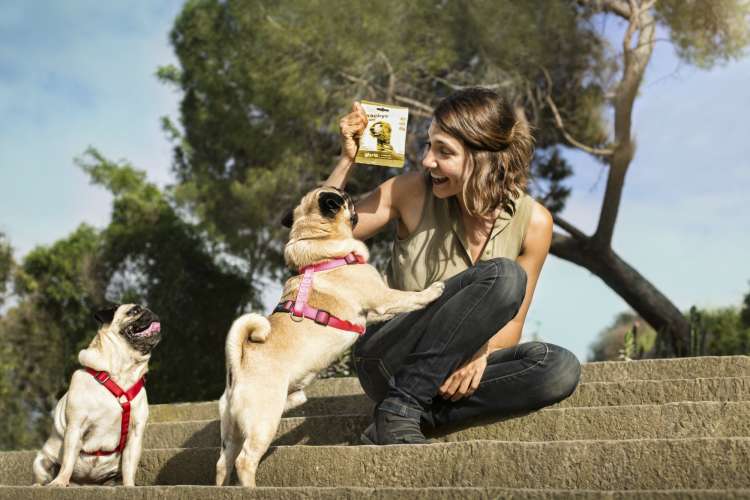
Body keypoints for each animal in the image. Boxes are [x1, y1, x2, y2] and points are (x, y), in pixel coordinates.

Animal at [33, 302, 162, 486]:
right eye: (134, 311)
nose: (151, 312)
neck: (122, 372)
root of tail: (86, 483)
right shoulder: (76, 427)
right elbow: (68, 461)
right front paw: (60, 482)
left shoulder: (136, 433)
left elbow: (129, 467)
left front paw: (129, 486)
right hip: (42, 461)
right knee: (46, 473)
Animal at [214, 186, 444, 486]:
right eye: (345, 199)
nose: (354, 199)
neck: (320, 245)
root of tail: (238, 367)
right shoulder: (383, 298)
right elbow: (408, 298)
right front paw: (432, 291)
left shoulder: (373, 310)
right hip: (263, 421)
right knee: (245, 460)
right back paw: (250, 488)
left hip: (233, 428)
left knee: (223, 462)